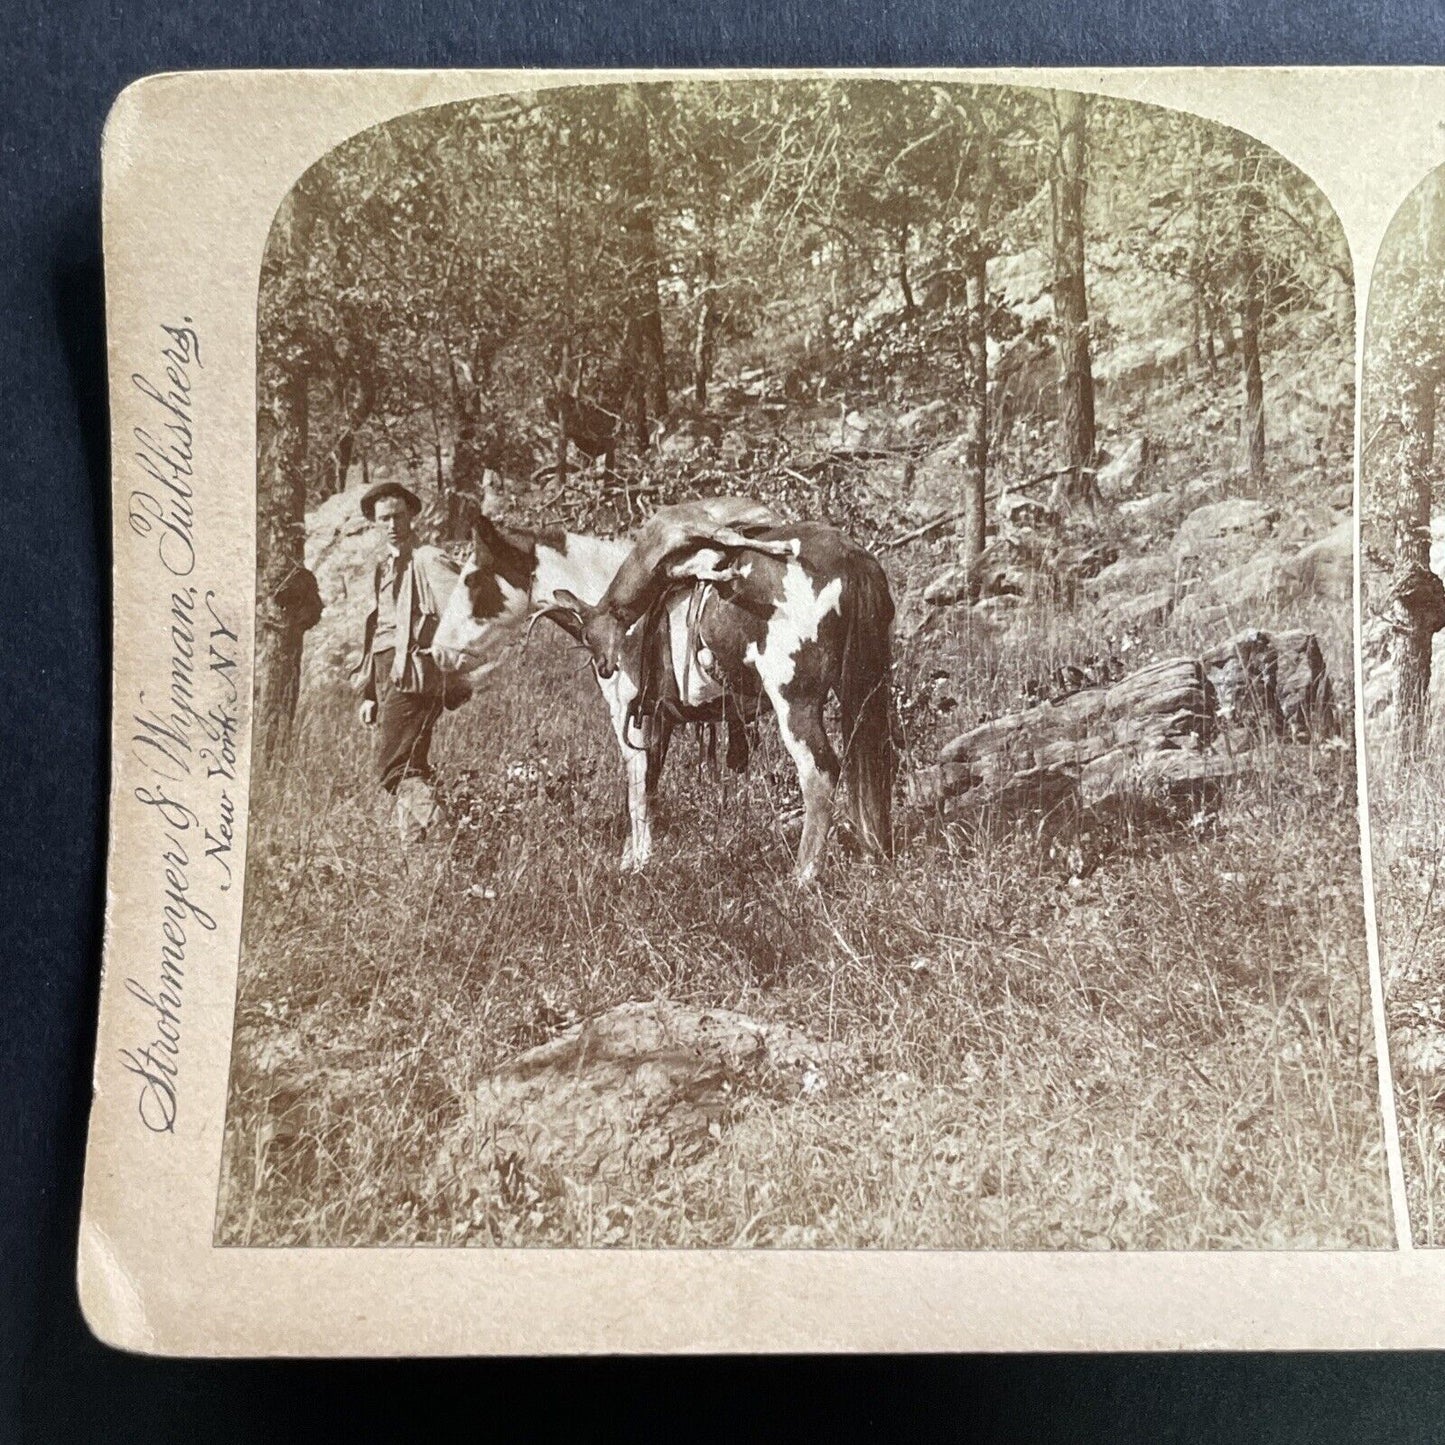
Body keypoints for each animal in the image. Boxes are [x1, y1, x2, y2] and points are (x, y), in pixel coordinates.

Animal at [427, 514, 895, 884]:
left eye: (473, 580)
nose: (437, 653)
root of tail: (849, 555)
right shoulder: (659, 719)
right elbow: (649, 785)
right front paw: (632, 858)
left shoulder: (628, 717)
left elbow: (636, 789)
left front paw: (637, 864)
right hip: (860, 694)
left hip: (795, 705)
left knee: (820, 774)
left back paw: (802, 877)